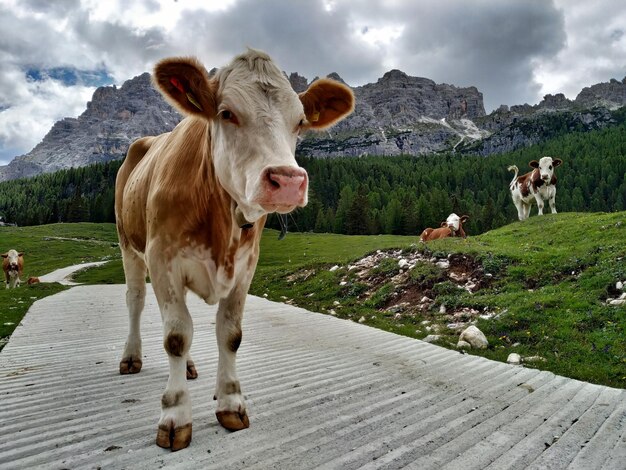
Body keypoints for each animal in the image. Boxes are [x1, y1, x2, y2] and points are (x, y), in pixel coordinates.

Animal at [114, 48, 354, 452]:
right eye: (227, 113)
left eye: (300, 122)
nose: (288, 180)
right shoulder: (162, 259)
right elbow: (175, 336)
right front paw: (175, 415)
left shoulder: (245, 266)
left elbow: (229, 334)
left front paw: (230, 402)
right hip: (128, 244)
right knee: (135, 300)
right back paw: (132, 356)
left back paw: (190, 368)